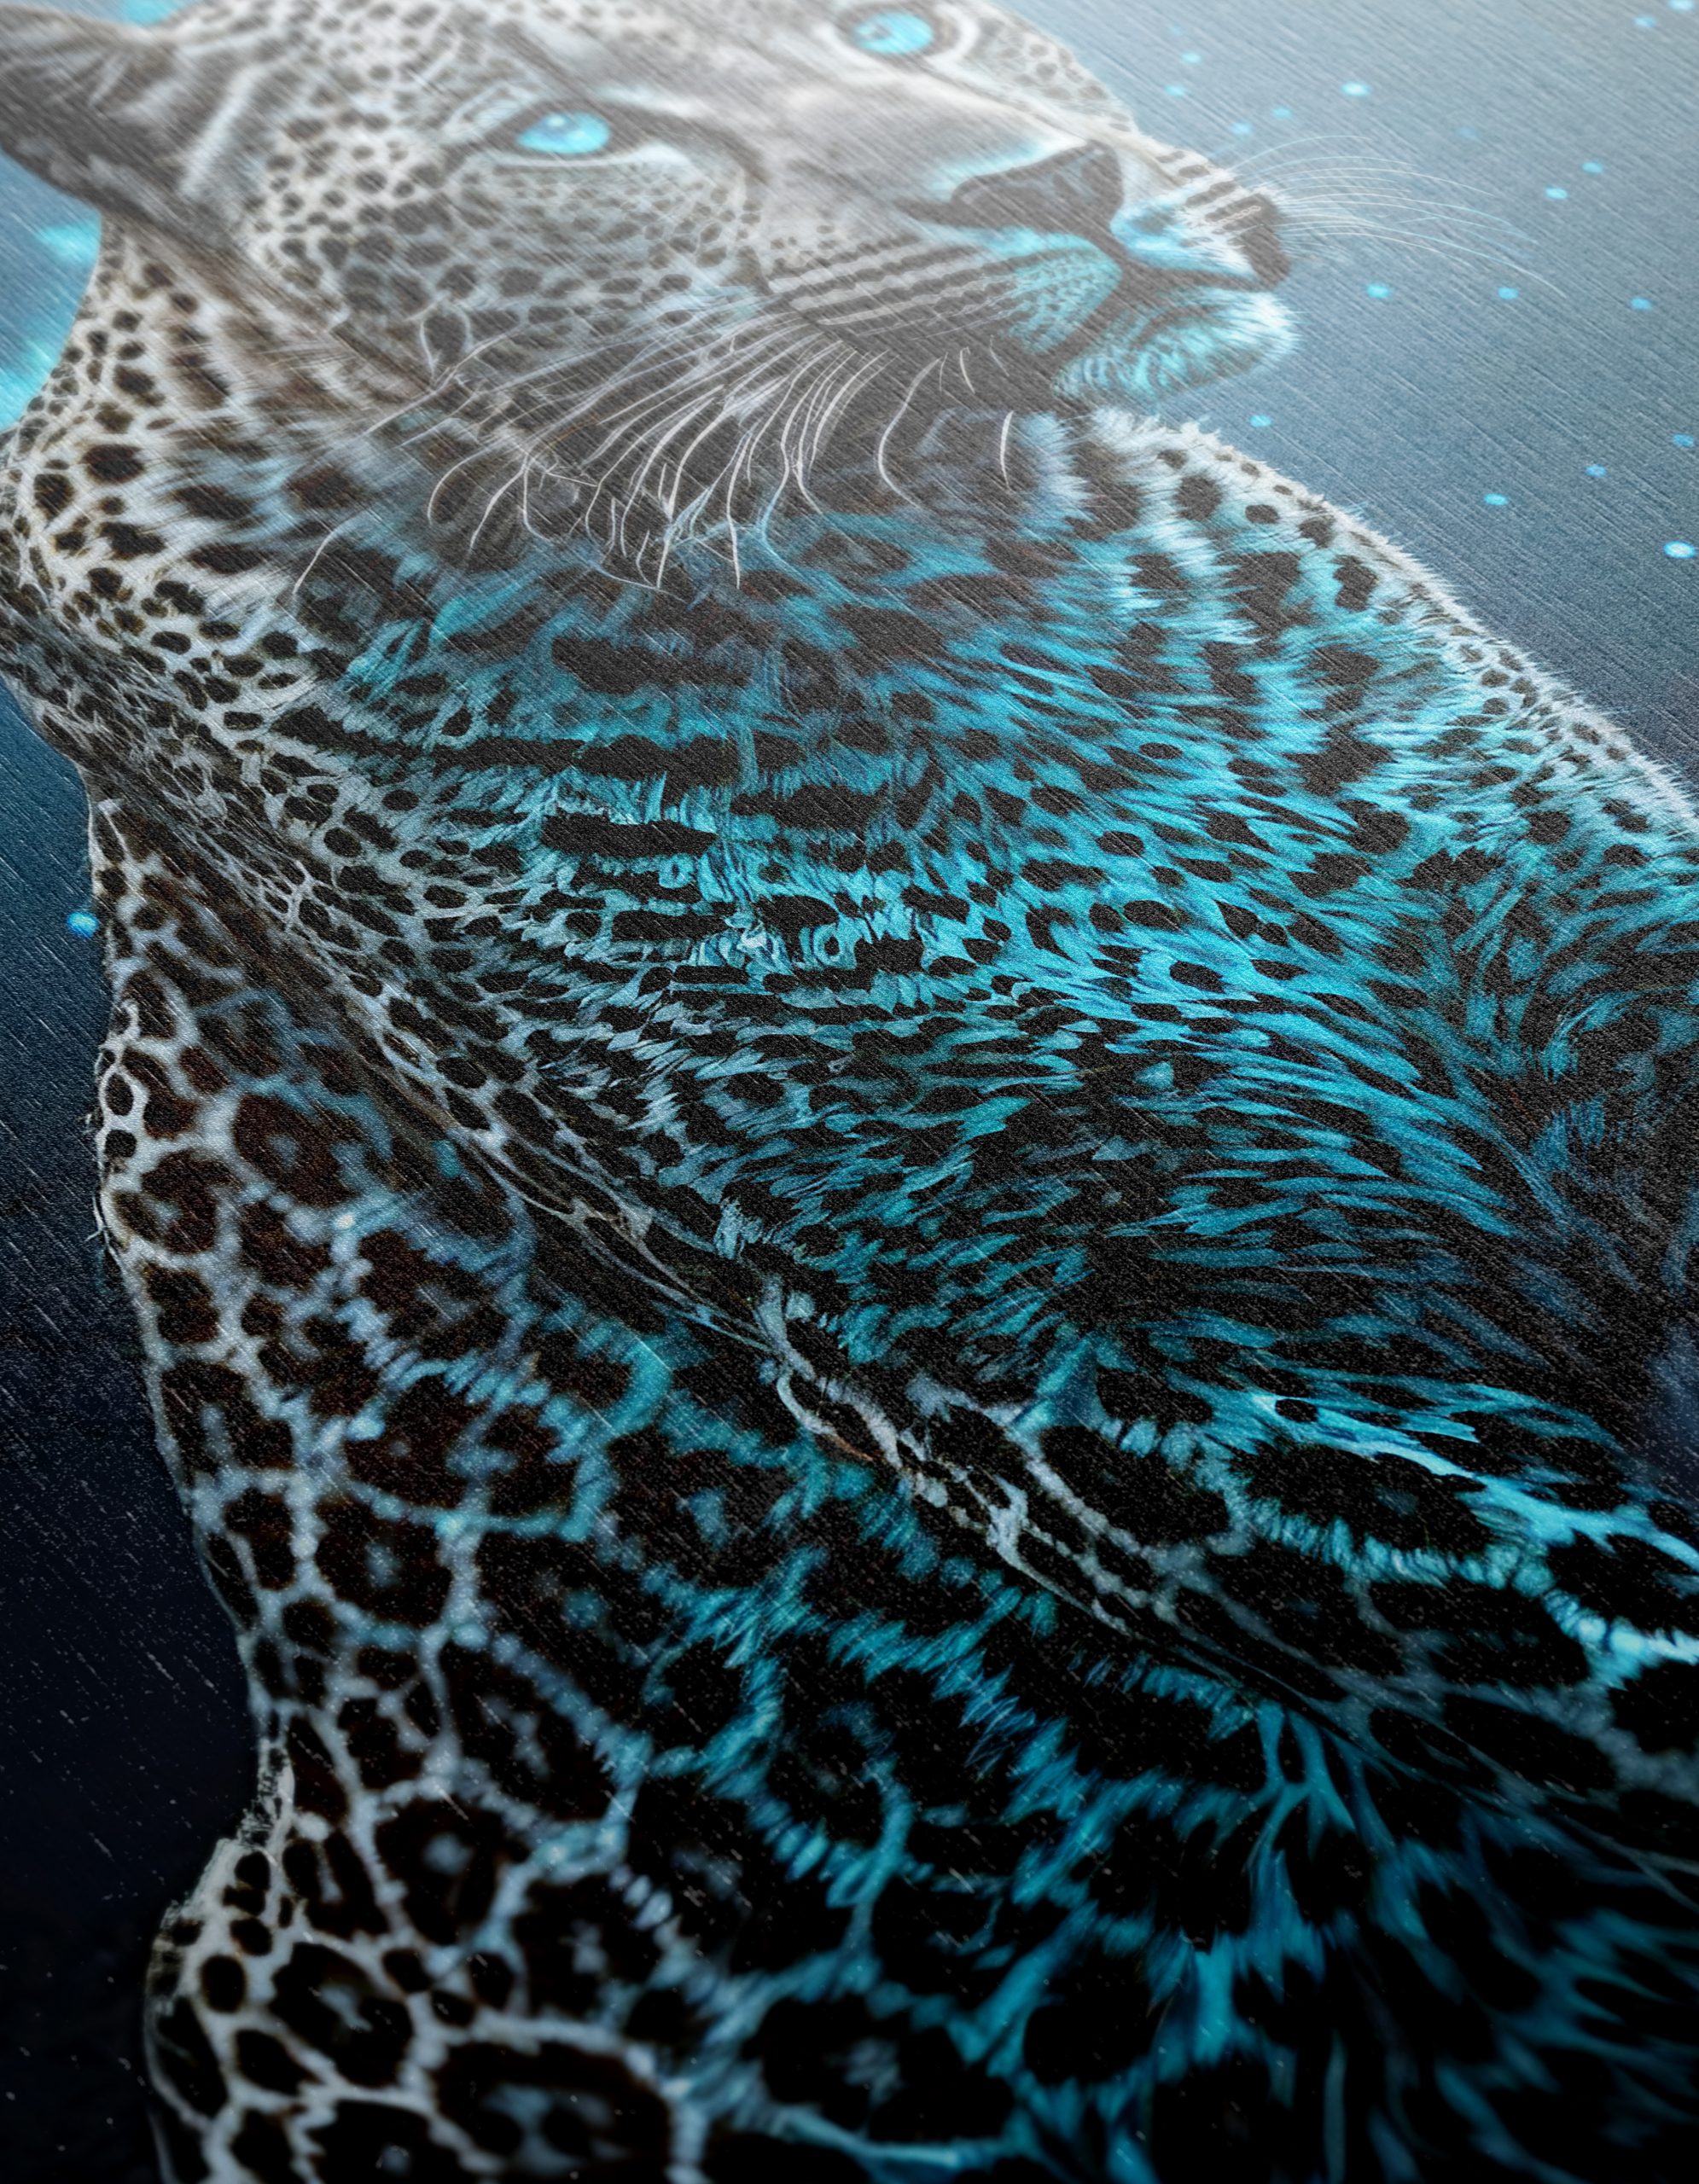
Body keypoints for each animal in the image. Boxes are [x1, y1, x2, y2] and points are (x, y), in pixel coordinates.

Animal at [1, 1, 1697, 2179]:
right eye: (571, 137)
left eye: (889, 22)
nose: (1052, 180)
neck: (957, 580)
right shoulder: (1088, 1371)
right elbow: (1592, 1638)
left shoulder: (1616, 983)